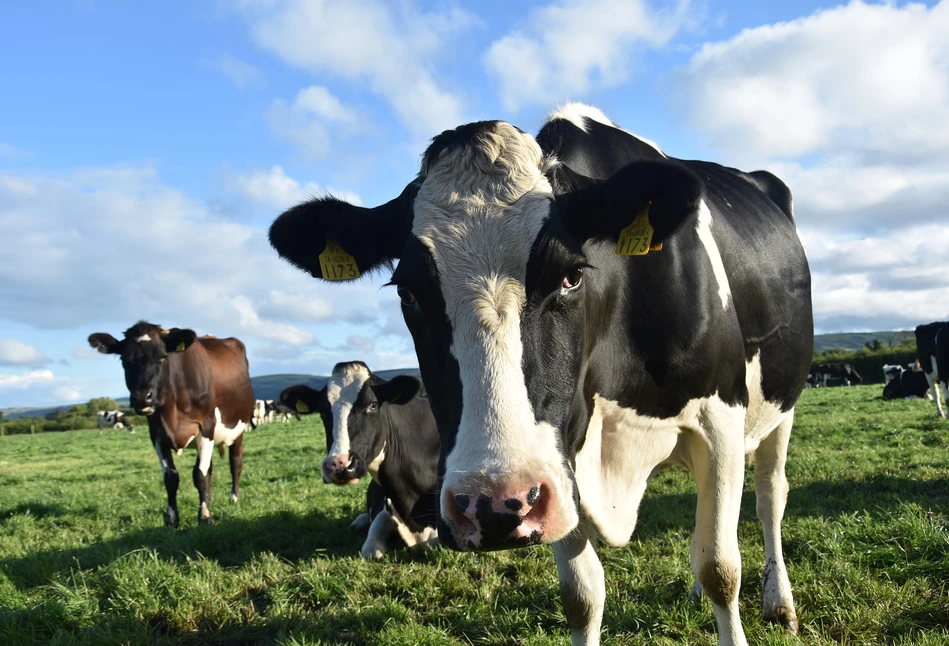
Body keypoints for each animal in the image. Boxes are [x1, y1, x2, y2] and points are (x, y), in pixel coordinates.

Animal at [86, 322, 252, 528]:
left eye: (163, 357)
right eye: (124, 360)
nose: (142, 397)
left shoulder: (206, 427)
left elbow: (199, 474)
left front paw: (205, 516)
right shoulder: (157, 435)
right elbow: (171, 478)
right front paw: (172, 518)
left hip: (238, 429)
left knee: (235, 463)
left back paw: (234, 497)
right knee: (210, 467)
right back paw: (211, 497)